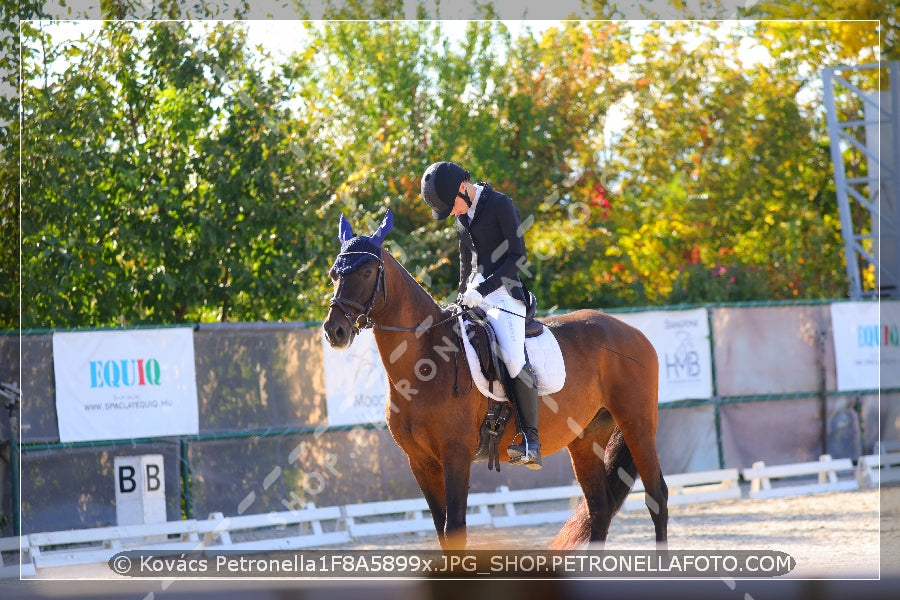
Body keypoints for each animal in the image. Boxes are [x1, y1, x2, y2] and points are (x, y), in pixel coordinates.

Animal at [320, 211, 664, 552]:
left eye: (367, 271)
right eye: (334, 273)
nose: (334, 330)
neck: (425, 363)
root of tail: (630, 330)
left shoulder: (456, 455)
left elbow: (455, 529)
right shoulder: (421, 462)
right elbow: (442, 533)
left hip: (637, 425)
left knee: (657, 495)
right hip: (586, 437)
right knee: (599, 509)